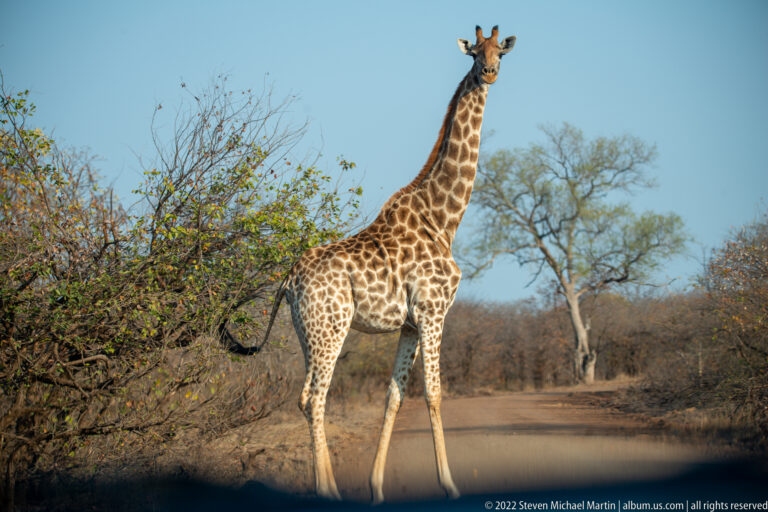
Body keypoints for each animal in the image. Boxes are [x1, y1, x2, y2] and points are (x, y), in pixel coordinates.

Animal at [260, 25, 516, 502]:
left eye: (501, 53)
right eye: (474, 53)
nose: (489, 72)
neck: (444, 219)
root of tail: (289, 280)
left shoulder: (411, 324)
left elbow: (394, 396)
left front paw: (376, 486)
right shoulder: (433, 312)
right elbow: (434, 394)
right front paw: (449, 484)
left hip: (307, 333)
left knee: (305, 397)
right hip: (332, 328)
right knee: (317, 398)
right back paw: (329, 493)